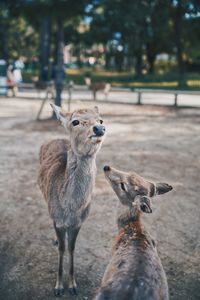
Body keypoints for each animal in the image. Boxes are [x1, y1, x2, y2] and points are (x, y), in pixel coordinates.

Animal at [38, 103, 106, 296]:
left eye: (100, 119)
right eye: (75, 121)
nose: (99, 129)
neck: (71, 209)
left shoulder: (79, 222)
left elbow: (72, 247)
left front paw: (73, 285)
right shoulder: (58, 220)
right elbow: (62, 248)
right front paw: (59, 286)